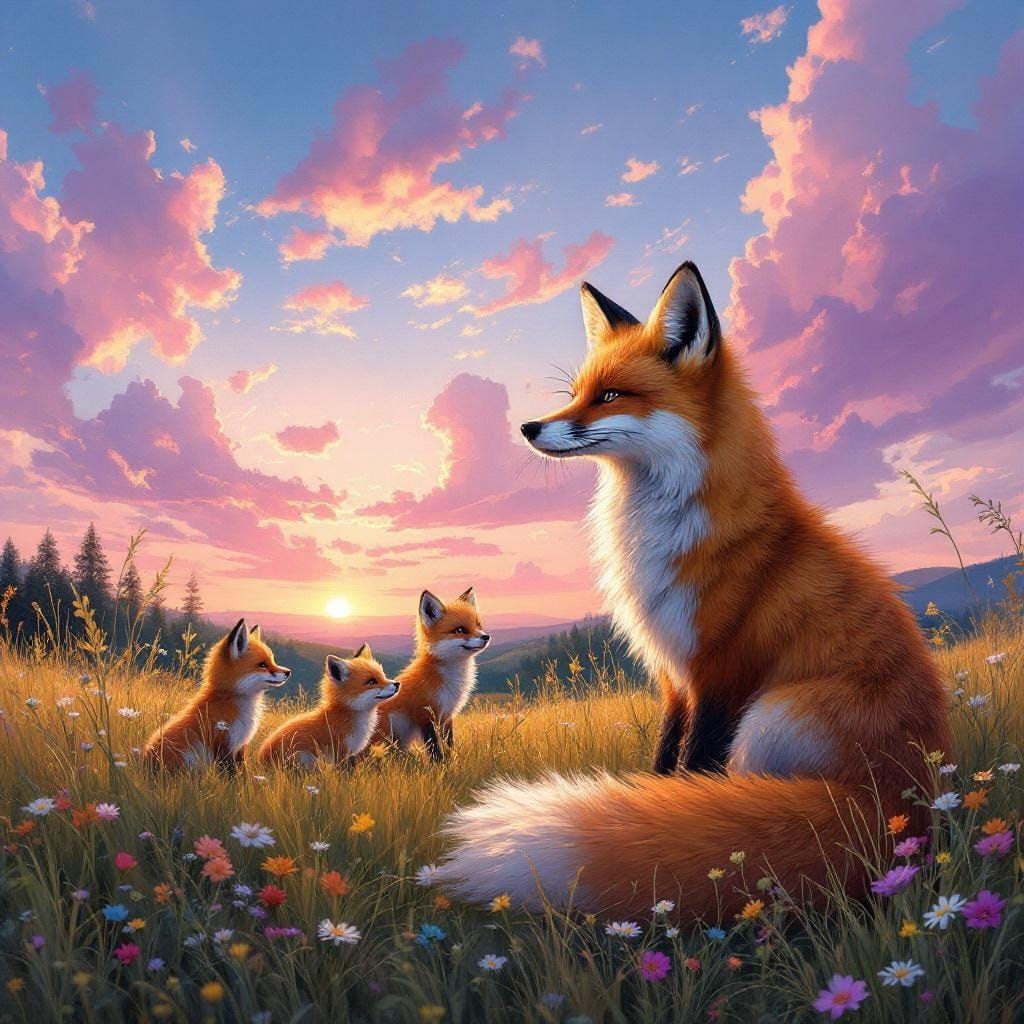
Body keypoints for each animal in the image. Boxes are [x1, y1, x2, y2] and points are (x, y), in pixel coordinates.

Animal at [143, 619, 291, 773]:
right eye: (263, 665)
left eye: (272, 661)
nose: (288, 672)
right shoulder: (223, 745)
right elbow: (231, 774)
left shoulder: (240, 746)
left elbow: (243, 772)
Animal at [369, 587, 490, 761]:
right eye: (460, 630)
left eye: (478, 624)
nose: (486, 636)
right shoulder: (425, 715)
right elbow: (435, 751)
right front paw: (441, 766)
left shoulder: (446, 716)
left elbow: (449, 746)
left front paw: (452, 762)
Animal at [435, 261, 953, 919]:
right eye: (574, 392)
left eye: (611, 396)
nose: (527, 427)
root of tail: (905, 806)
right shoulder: (672, 674)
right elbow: (665, 764)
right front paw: (649, 811)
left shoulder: (719, 670)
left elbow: (693, 765)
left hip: (769, 718)